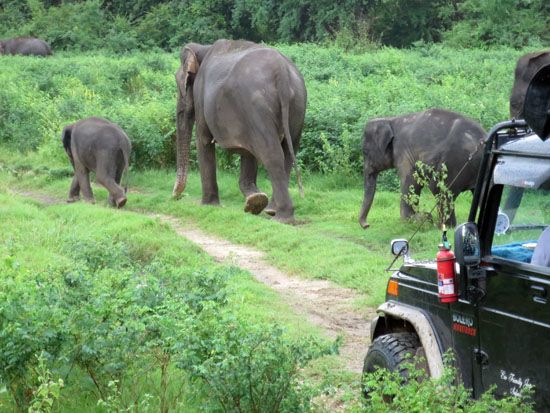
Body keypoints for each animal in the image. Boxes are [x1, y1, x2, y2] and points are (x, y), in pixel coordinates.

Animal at [175, 39, 308, 222]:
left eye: (179, 82)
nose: (176, 196)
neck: (203, 47)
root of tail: (281, 72)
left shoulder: (200, 94)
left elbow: (203, 138)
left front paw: (209, 205)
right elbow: (248, 151)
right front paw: (255, 200)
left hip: (257, 106)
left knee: (272, 154)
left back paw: (281, 217)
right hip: (297, 105)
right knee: (288, 152)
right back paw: (271, 209)